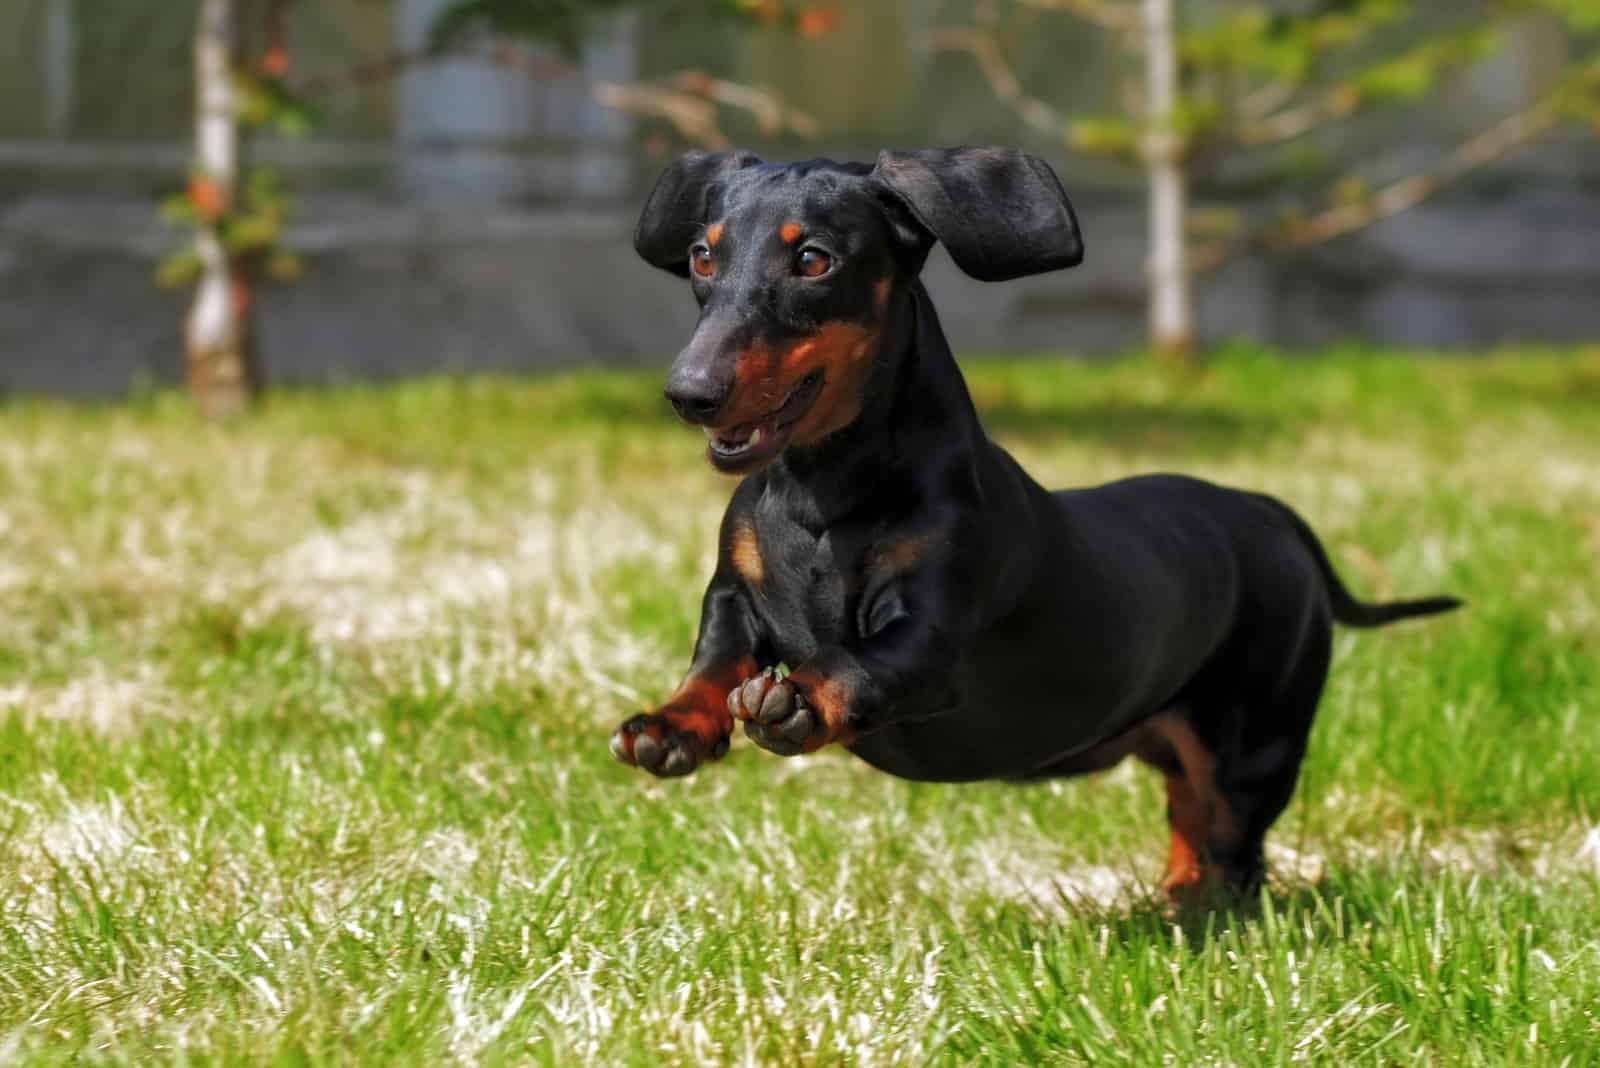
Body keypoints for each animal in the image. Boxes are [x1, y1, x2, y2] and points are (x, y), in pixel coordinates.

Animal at [604, 147, 1459, 901]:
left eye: (813, 260)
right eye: (703, 257)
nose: (690, 393)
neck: (820, 499)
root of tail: (1267, 511)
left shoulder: (933, 634)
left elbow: (863, 663)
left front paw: (802, 700)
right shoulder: (732, 593)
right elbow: (716, 658)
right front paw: (670, 726)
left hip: (1256, 741)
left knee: (1235, 846)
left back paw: (1202, 916)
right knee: (1190, 818)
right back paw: (1175, 900)